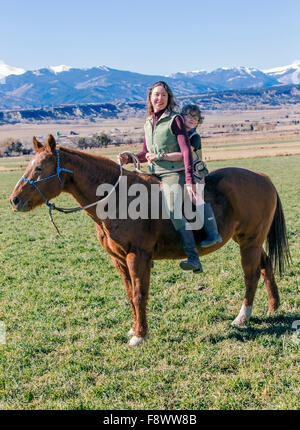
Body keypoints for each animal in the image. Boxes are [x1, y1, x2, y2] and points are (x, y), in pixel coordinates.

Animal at [9, 136, 290, 344]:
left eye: (38, 168)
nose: (14, 200)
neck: (118, 197)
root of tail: (262, 177)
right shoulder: (119, 260)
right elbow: (129, 294)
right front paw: (134, 329)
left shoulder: (138, 256)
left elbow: (139, 294)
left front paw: (140, 336)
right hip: (249, 241)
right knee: (265, 267)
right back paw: (273, 307)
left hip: (250, 242)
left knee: (251, 275)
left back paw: (242, 317)